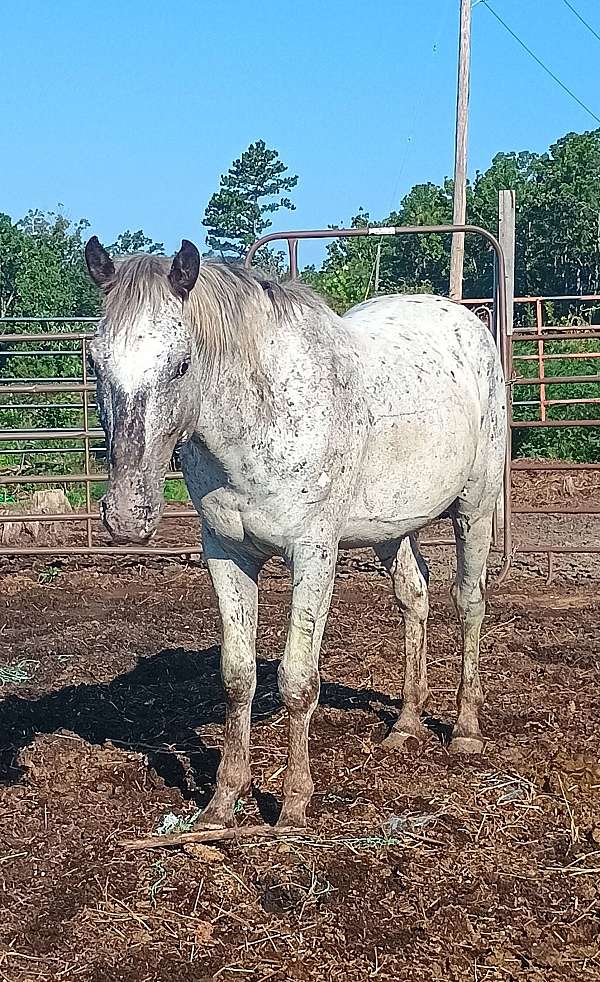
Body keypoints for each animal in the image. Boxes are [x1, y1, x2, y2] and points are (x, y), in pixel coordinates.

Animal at [84, 236, 506, 832]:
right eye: (95, 360)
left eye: (181, 364)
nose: (126, 516)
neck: (261, 419)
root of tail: (466, 320)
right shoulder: (227, 554)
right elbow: (237, 675)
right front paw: (222, 802)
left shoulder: (313, 553)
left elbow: (298, 679)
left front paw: (293, 803)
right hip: (391, 528)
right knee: (415, 596)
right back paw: (405, 724)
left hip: (475, 507)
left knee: (468, 602)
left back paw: (465, 730)